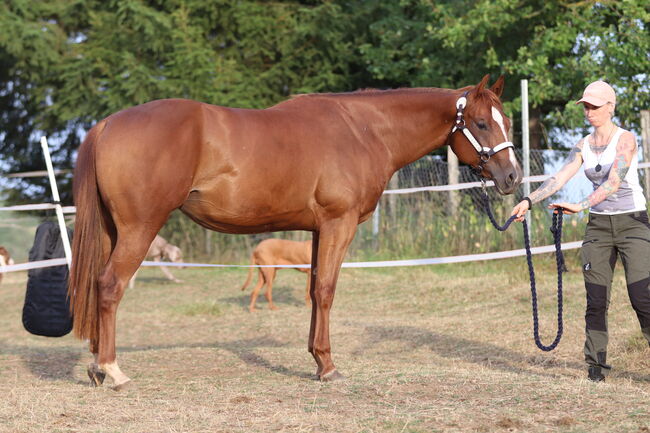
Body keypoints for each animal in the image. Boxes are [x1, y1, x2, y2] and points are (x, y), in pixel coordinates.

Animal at [67, 74, 520, 388]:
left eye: (508, 121)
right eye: (481, 123)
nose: (512, 176)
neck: (362, 130)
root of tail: (107, 124)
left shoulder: (319, 229)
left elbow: (315, 289)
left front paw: (317, 361)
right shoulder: (338, 224)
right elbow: (326, 290)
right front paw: (329, 367)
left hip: (112, 231)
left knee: (96, 285)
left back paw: (96, 366)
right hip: (139, 229)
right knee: (109, 286)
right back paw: (112, 370)